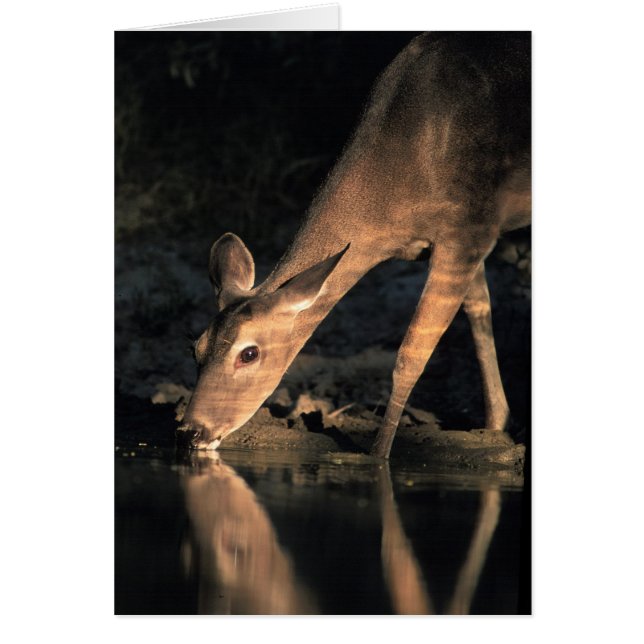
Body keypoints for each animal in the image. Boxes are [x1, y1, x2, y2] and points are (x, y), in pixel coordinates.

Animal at [176, 32, 531, 459]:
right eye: (195, 347)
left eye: (249, 353)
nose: (192, 431)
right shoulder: (461, 238)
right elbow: (479, 310)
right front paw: (496, 426)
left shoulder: (469, 225)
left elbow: (411, 355)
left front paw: (377, 457)